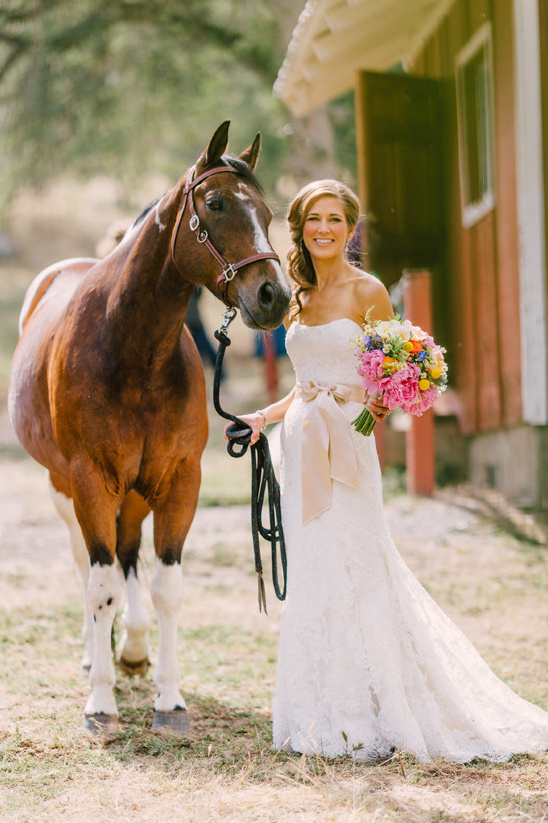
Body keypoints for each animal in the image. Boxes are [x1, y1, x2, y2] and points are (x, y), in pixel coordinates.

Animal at [8, 122, 292, 732]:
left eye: (266, 210)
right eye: (216, 204)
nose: (273, 295)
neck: (133, 351)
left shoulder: (178, 481)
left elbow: (166, 587)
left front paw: (168, 696)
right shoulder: (91, 482)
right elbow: (99, 587)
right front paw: (101, 700)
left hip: (136, 491)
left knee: (129, 553)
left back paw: (133, 648)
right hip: (64, 487)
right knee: (89, 565)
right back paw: (95, 655)